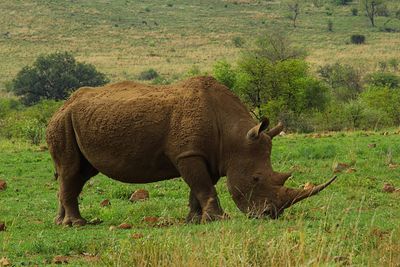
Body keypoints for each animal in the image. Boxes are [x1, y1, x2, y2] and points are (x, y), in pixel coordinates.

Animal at [45, 76, 336, 226]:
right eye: (255, 179)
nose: (270, 215)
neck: (233, 136)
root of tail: (61, 105)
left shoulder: (210, 156)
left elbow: (199, 189)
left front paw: (195, 220)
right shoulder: (188, 154)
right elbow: (203, 186)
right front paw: (219, 218)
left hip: (72, 121)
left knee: (78, 174)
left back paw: (60, 223)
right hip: (63, 123)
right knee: (71, 171)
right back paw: (76, 224)